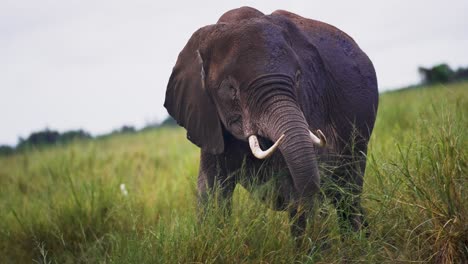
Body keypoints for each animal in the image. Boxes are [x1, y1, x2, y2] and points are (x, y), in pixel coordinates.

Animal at [163, 6, 378, 239]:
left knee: (348, 191)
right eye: (231, 89)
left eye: (298, 77)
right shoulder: (208, 119)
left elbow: (298, 188)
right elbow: (212, 193)